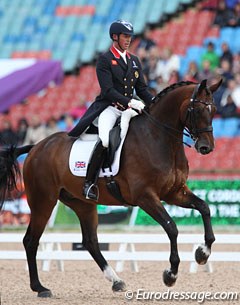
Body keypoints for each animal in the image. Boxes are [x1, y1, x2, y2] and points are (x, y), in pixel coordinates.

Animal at [0, 78, 222, 296]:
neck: (158, 138)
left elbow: (204, 208)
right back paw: (40, 287)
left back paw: (116, 281)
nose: (206, 147)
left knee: (90, 241)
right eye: (197, 110)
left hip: (82, 203)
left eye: (213, 110)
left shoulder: (174, 193)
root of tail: (36, 147)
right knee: (31, 241)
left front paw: (202, 253)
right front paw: (171, 274)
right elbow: (171, 227)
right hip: (43, 202)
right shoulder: (145, 197)